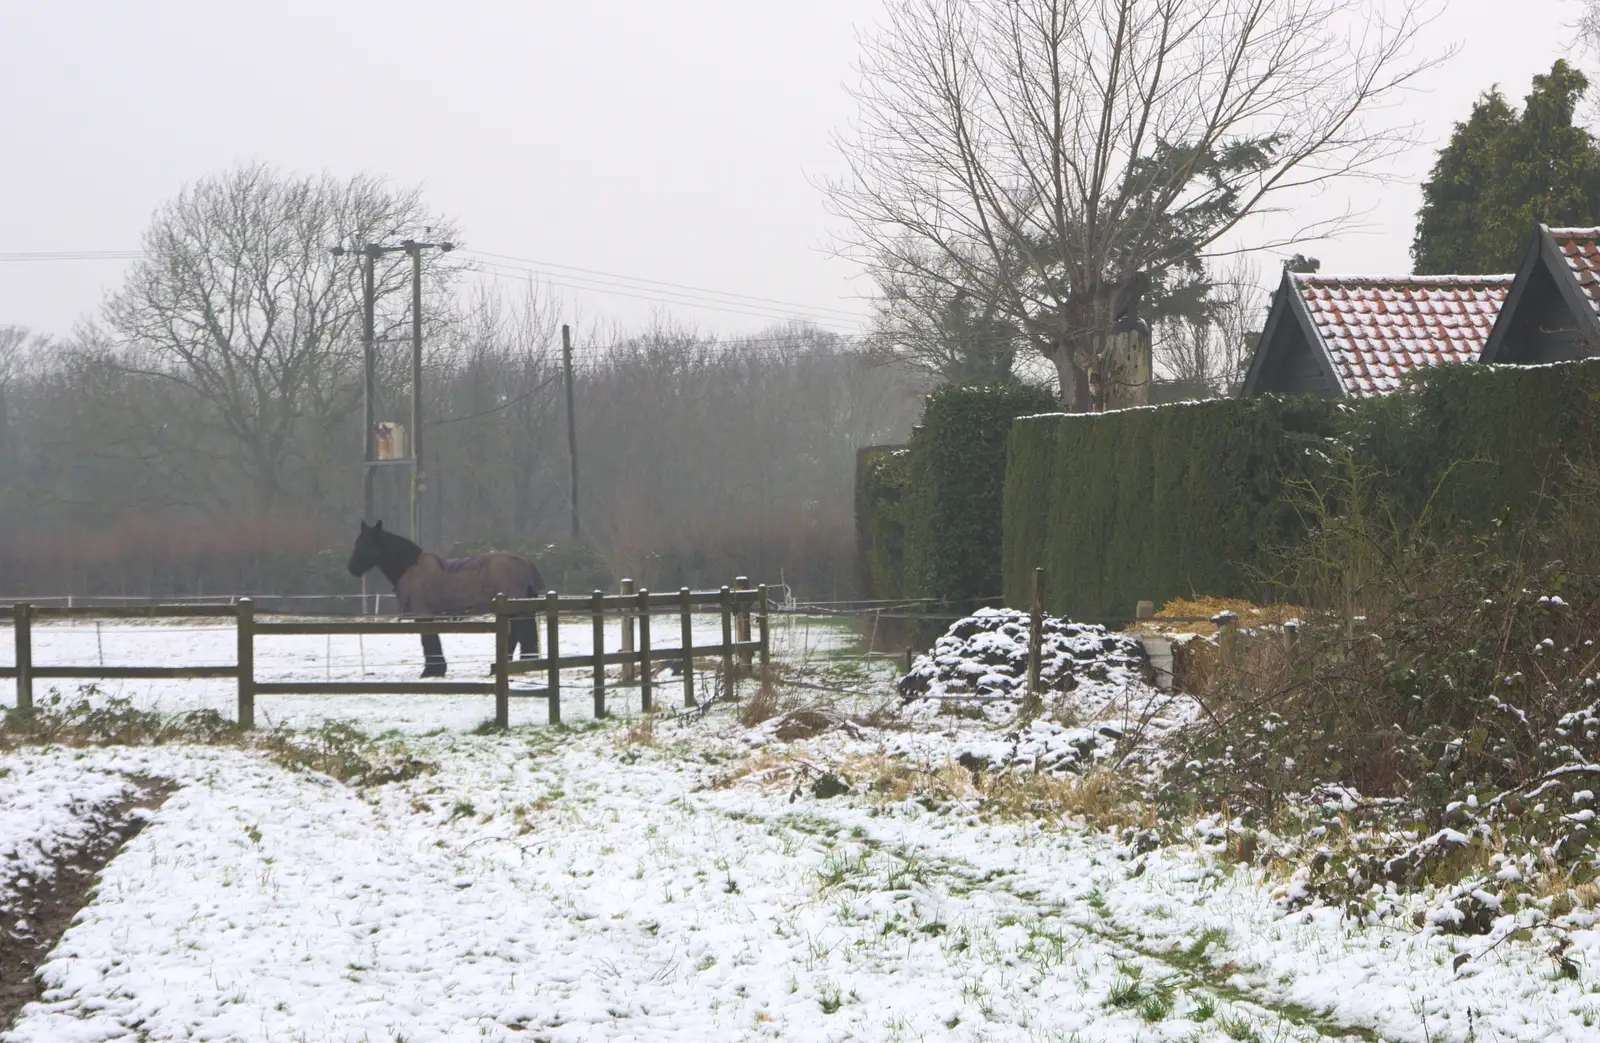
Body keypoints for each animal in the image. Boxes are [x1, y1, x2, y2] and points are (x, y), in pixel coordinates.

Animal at [344, 518, 544, 675]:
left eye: (366, 544)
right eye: (357, 543)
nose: (352, 569)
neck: (411, 567)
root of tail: (526, 563)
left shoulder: (423, 613)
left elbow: (428, 641)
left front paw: (431, 671)